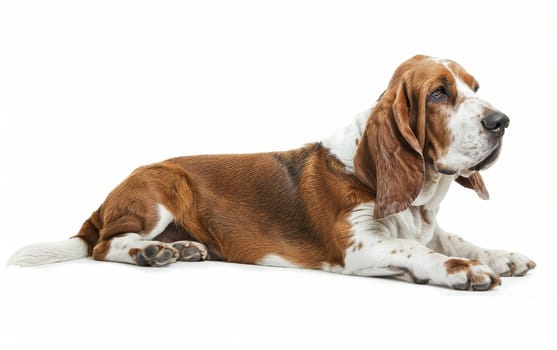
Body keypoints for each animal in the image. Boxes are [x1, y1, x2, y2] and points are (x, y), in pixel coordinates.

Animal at [7, 54, 536, 290]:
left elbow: (452, 237)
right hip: (160, 191)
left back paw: (180, 249)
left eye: (474, 87)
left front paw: (500, 255)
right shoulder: (358, 246)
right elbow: (419, 250)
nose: (502, 121)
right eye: (439, 93)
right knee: (103, 245)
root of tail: (103, 201)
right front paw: (462, 269)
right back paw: (151, 252)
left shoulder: (426, 223)